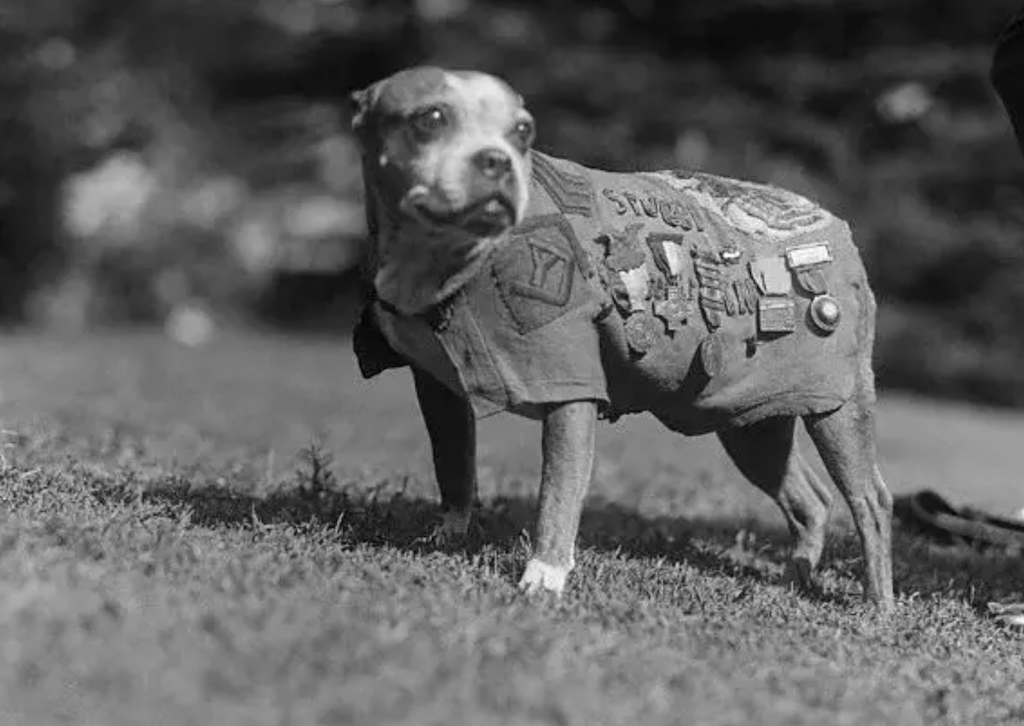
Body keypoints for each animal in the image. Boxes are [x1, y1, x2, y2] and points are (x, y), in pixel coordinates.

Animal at [348, 68, 892, 610]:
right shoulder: (437, 389)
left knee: (871, 501)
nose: (496, 159)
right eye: (430, 118)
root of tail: (833, 224)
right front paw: (448, 536)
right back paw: (794, 579)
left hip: (838, 408)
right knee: (809, 499)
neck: (446, 259)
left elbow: (558, 492)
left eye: (523, 131)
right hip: (750, 419)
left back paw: (877, 604)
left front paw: (544, 577)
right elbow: (454, 466)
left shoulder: (571, 392)